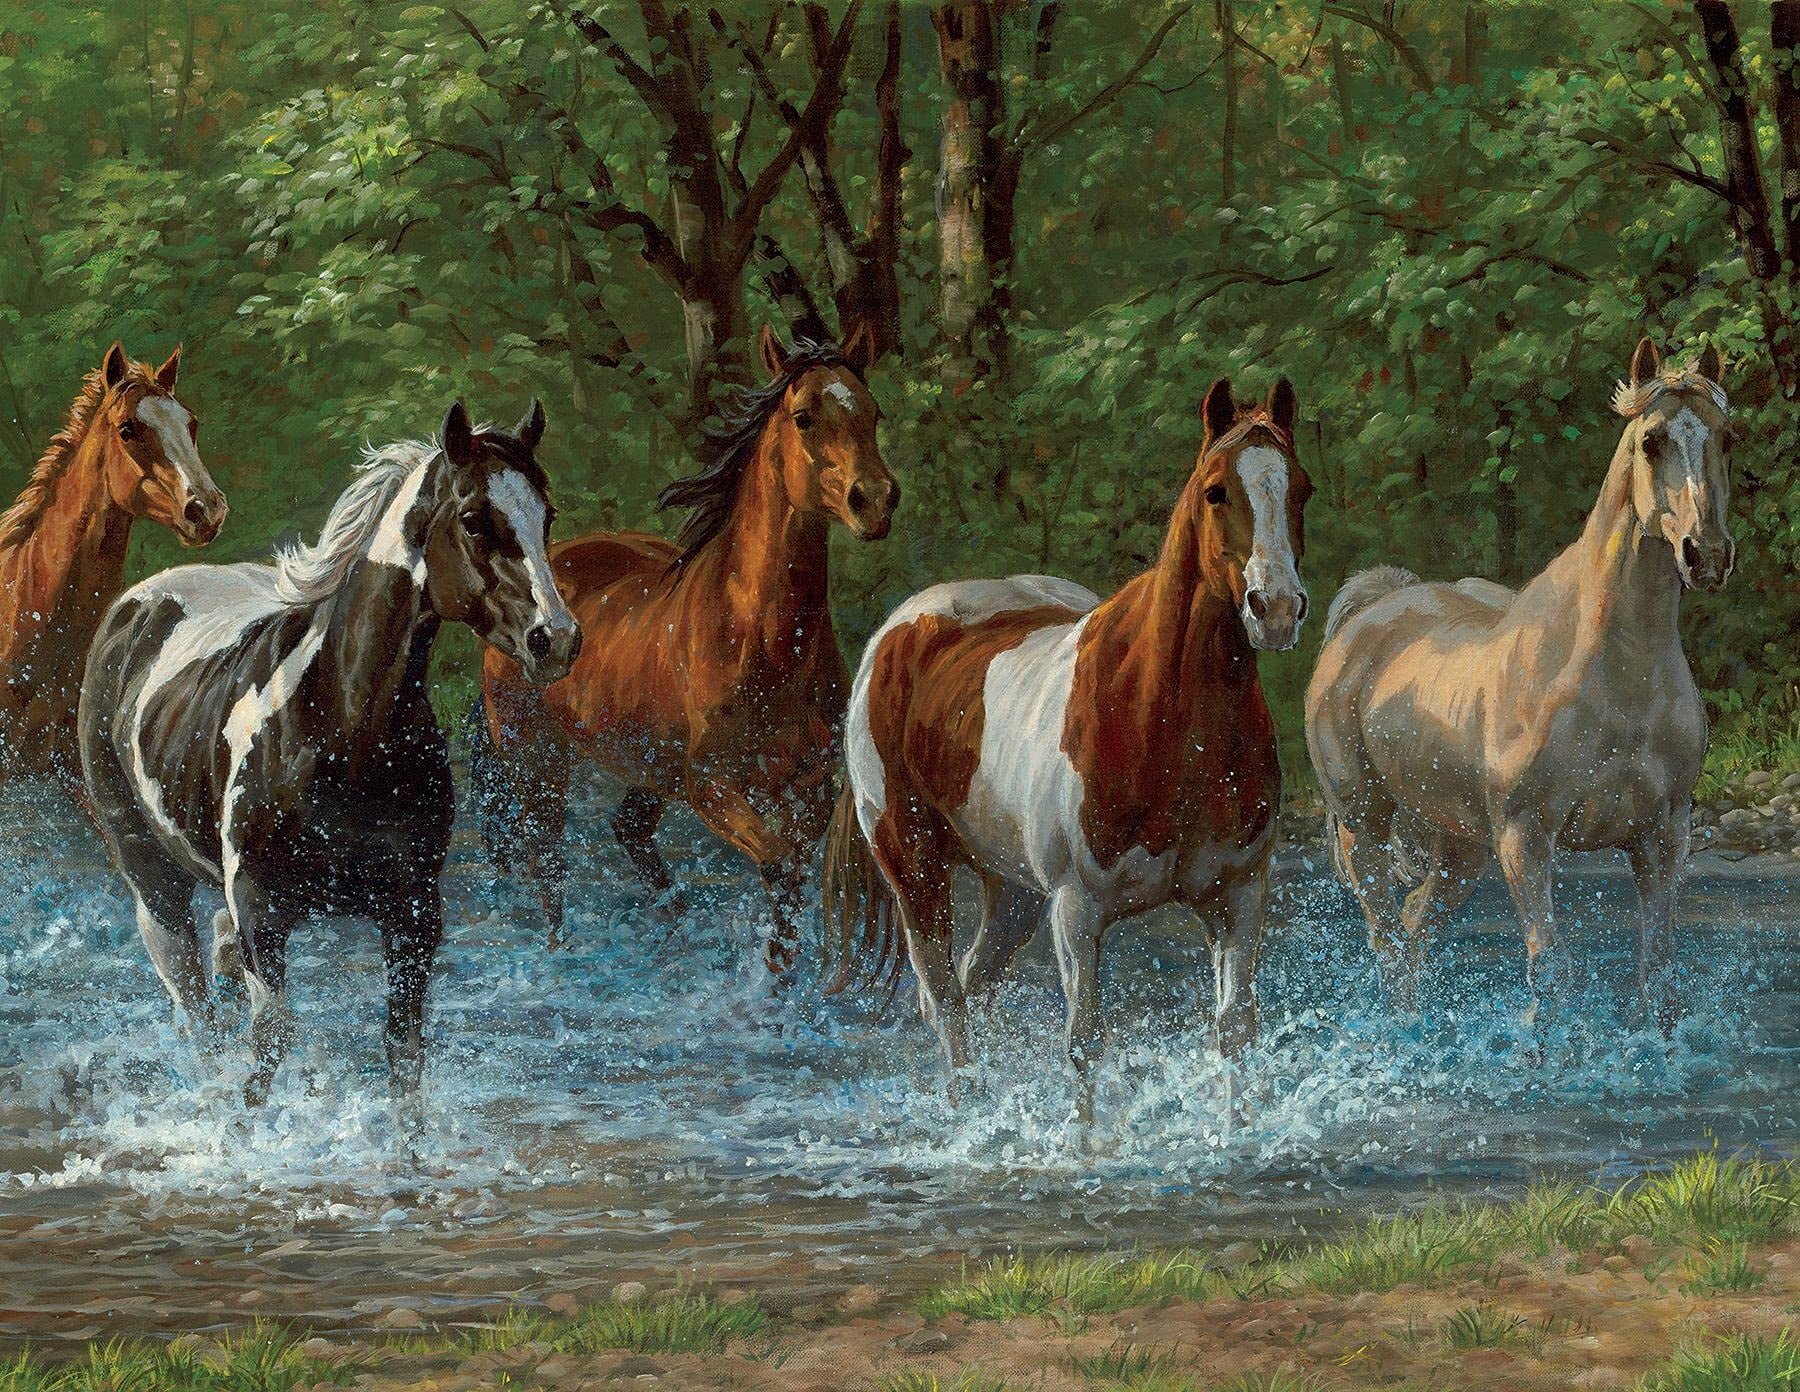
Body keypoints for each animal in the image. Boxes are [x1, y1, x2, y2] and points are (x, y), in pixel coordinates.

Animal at [78, 400, 578, 1111]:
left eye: (547, 515)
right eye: (476, 519)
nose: (556, 640)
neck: (343, 733)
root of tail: (136, 606)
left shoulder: (412, 916)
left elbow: (403, 1056)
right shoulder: (261, 914)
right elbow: (267, 1051)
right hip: (154, 878)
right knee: (197, 1011)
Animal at [473, 325, 897, 974]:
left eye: (873, 414)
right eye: (804, 416)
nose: (873, 500)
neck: (762, 640)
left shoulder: (810, 785)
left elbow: (792, 875)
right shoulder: (711, 787)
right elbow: (779, 869)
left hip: (646, 766)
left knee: (629, 834)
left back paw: (672, 937)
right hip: (537, 763)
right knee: (545, 863)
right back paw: (562, 954)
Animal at [825, 378, 1312, 1120]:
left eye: (1302, 489)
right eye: (1215, 491)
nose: (1277, 609)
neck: (1164, 723)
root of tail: (900, 630)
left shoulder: (1239, 896)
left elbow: (1235, 1031)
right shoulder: (1078, 911)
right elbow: (1084, 1041)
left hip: (1013, 892)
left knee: (971, 985)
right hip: (915, 867)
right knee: (946, 1003)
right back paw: (966, 1116)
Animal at [1304, 340, 1733, 1035]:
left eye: (1727, 437)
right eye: (1652, 440)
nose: (1708, 555)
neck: (1617, 674)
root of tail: (1373, 611)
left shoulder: (1663, 837)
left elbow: (1659, 976)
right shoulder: (1526, 840)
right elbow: (1549, 974)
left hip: (1459, 848)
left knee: (1414, 928)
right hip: (1363, 825)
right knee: (1389, 944)